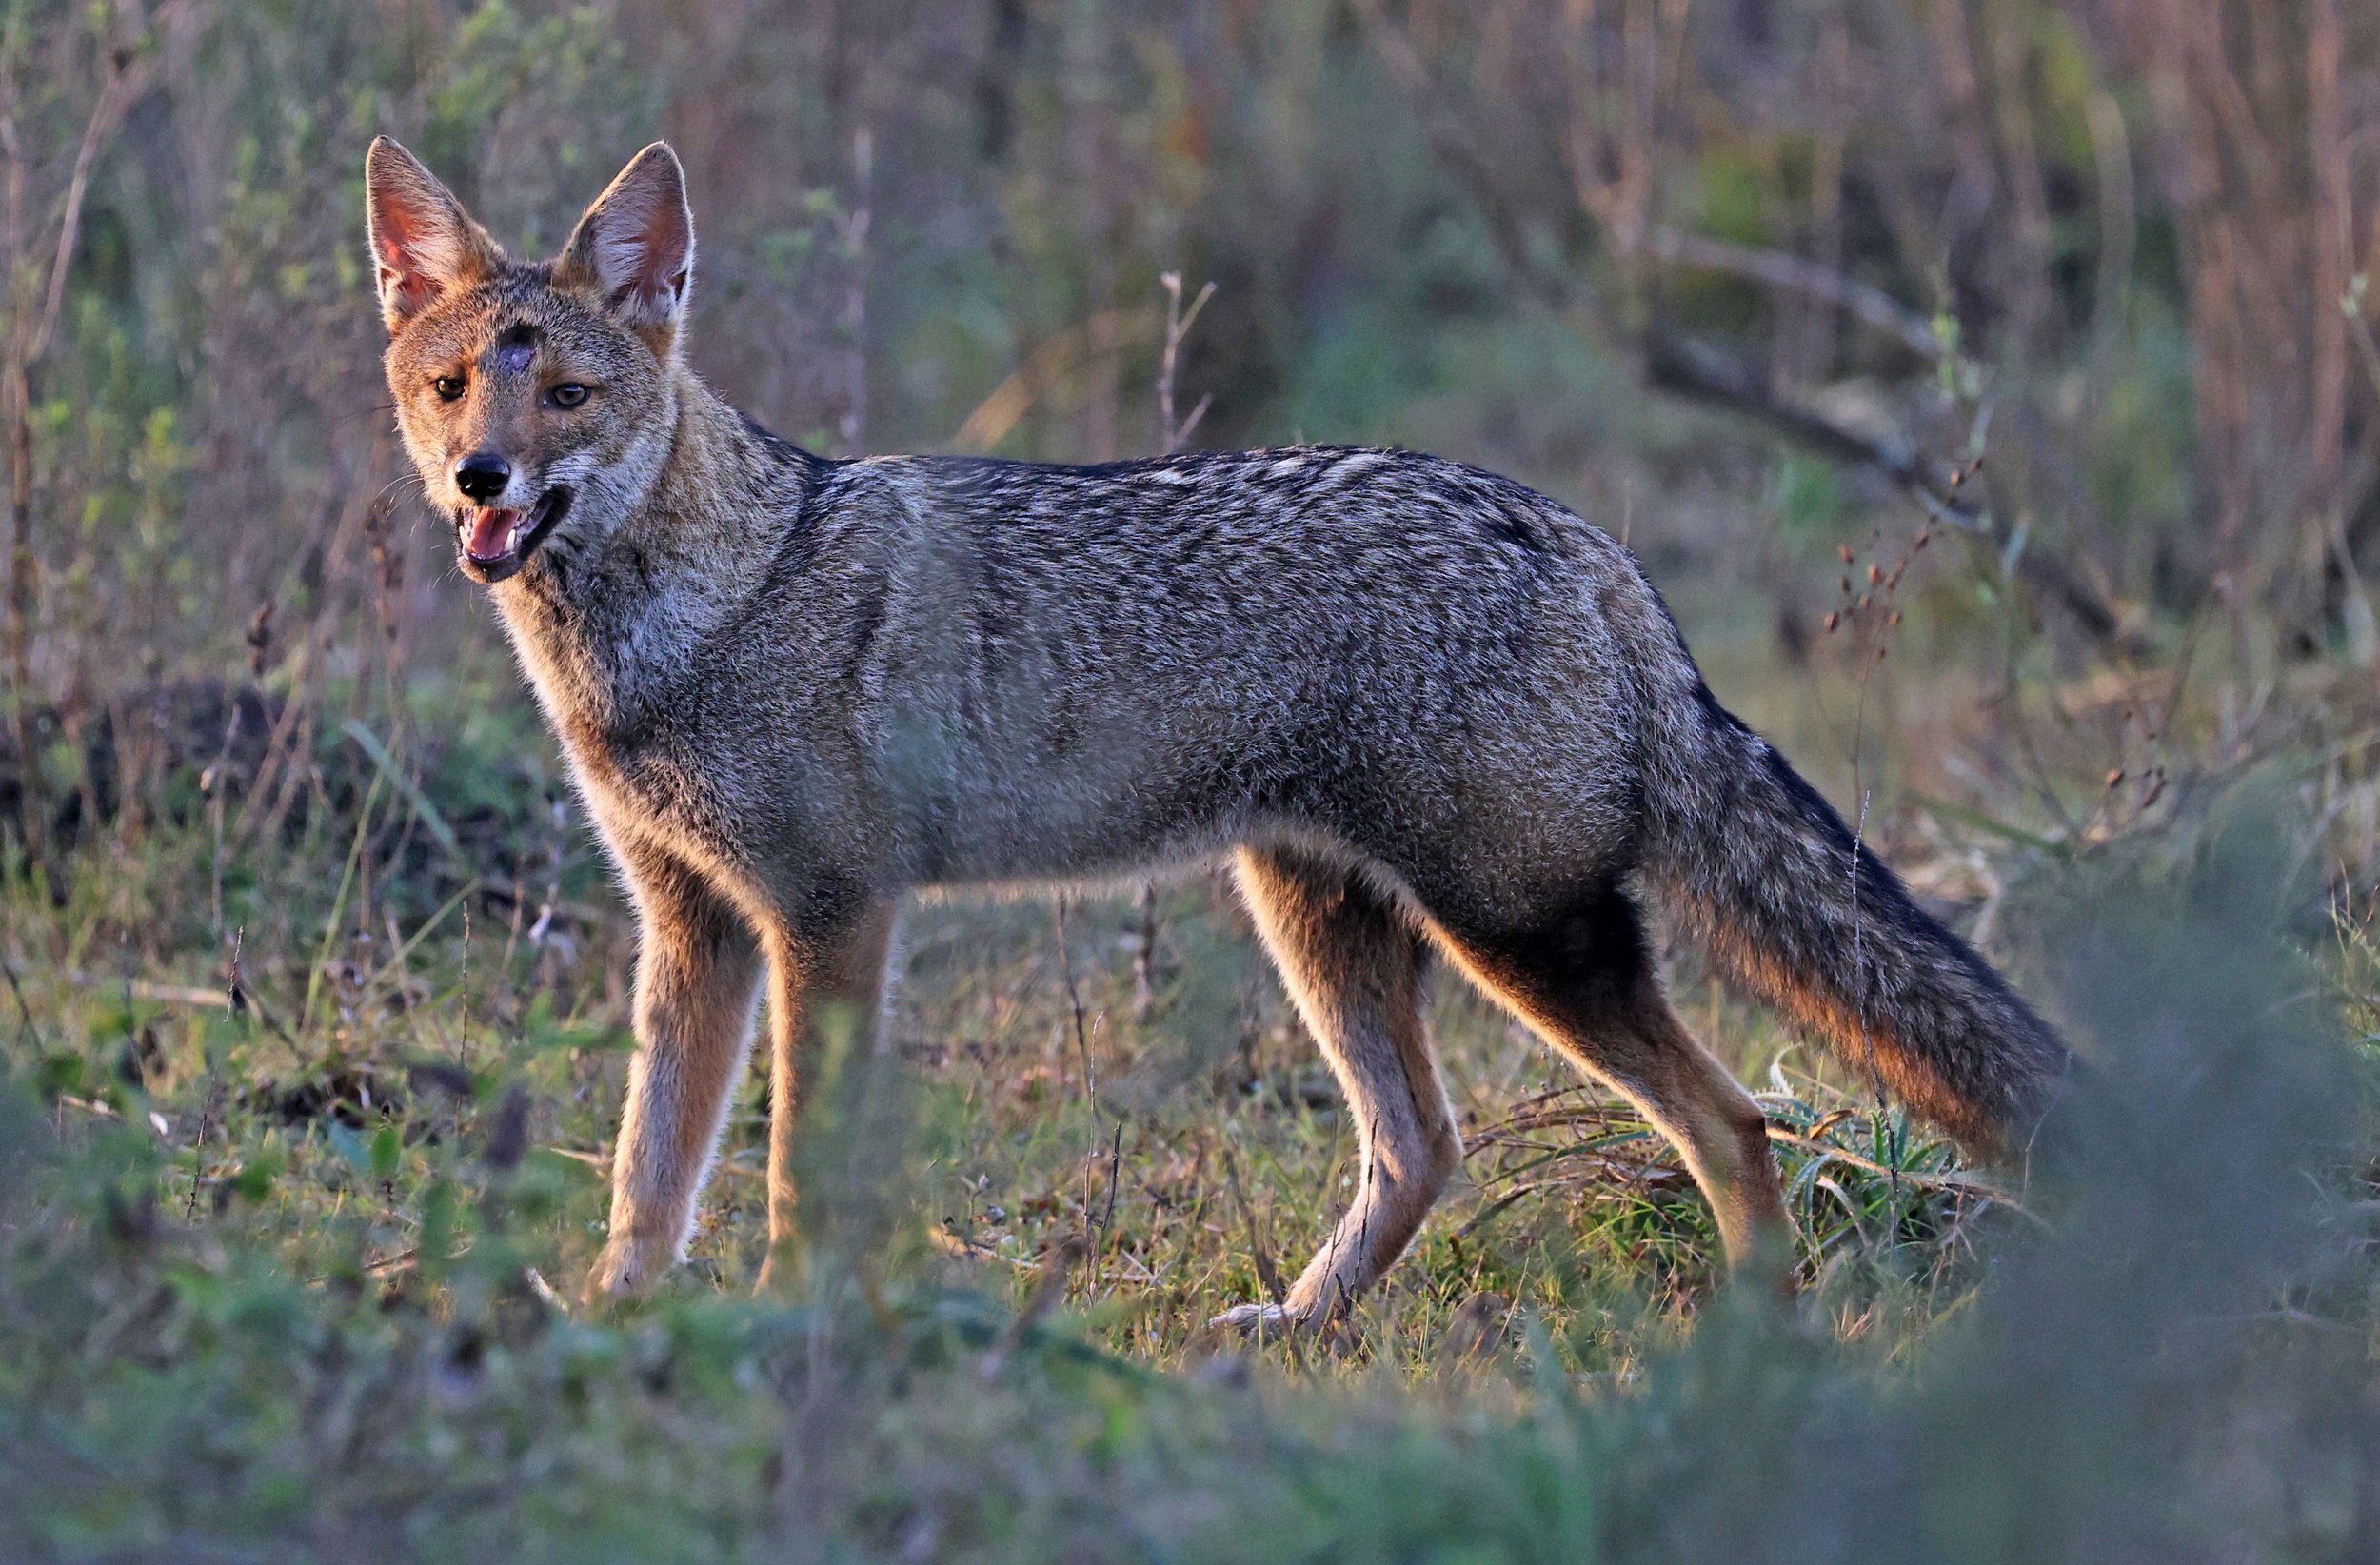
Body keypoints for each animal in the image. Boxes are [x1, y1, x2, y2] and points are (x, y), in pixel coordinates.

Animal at [366, 137, 2070, 1322]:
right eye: (452, 390)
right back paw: (1297, 1330)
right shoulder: (693, 925)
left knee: (1734, 1126)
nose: (479, 483)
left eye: (568, 398)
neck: (697, 614)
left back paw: (1751, 1344)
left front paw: (786, 1329)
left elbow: (791, 1174)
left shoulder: (829, 918)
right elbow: (648, 1177)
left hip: (1519, 936)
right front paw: (619, 1327)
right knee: (1424, 1145)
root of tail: (1578, 536)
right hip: (1319, 918)